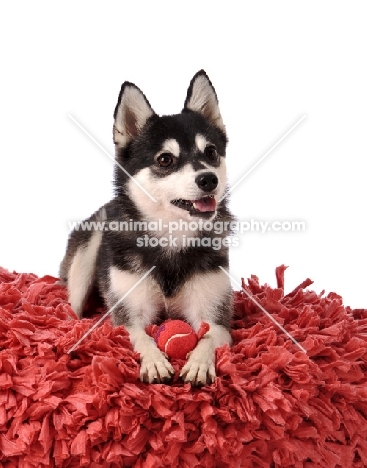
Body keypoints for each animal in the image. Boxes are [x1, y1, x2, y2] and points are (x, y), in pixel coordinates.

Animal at [59, 68, 234, 384]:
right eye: (165, 159)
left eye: (211, 152)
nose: (209, 179)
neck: (171, 236)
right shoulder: (129, 316)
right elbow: (140, 335)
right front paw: (154, 361)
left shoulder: (215, 316)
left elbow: (207, 336)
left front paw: (199, 363)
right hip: (87, 256)